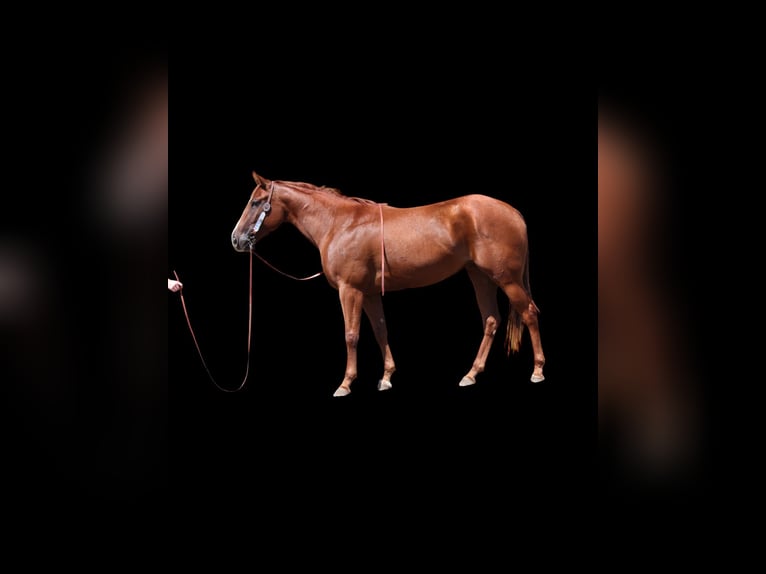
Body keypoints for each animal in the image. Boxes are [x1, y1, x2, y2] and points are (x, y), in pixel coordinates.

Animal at [231, 171, 545, 397]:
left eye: (256, 203)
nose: (236, 239)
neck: (339, 224)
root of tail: (513, 212)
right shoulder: (369, 293)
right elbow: (380, 330)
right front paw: (386, 377)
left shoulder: (350, 291)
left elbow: (351, 335)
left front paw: (345, 384)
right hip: (480, 276)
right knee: (491, 320)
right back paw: (471, 374)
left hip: (507, 279)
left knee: (529, 313)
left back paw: (537, 371)